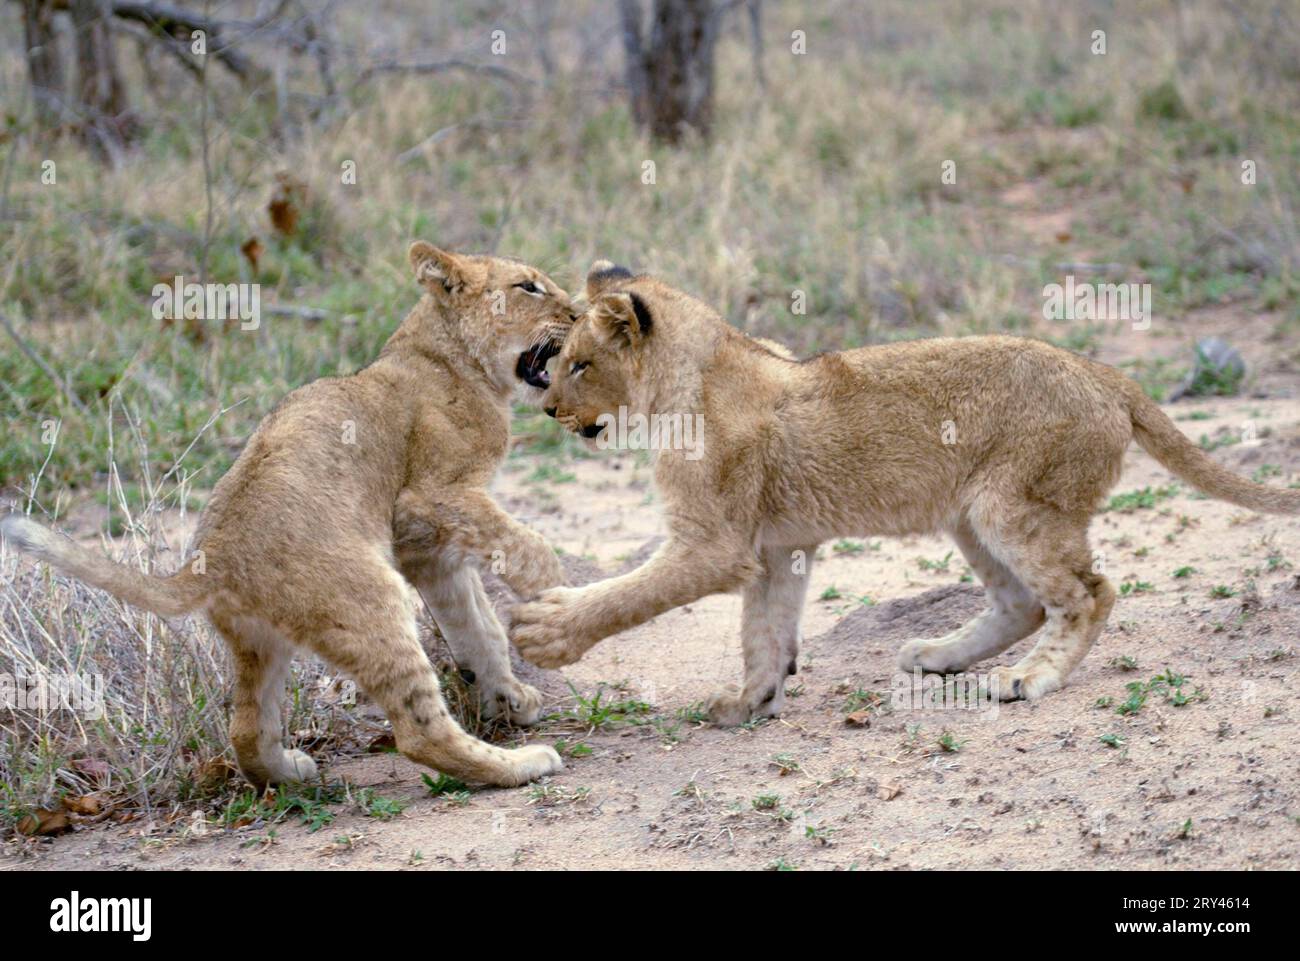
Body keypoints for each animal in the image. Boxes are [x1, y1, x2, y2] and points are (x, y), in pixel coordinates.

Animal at [2, 243, 575, 787]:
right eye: (529, 287)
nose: (578, 312)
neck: (446, 357)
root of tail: (212, 559)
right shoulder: (428, 499)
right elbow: (524, 550)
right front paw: (555, 592)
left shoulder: (425, 548)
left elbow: (477, 624)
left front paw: (508, 696)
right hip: (371, 595)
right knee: (418, 732)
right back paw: (520, 765)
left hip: (260, 640)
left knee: (245, 727)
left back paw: (289, 774)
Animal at [509, 263, 1300, 724]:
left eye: (578, 364)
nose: (547, 410)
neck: (689, 378)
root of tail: (1104, 372)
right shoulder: (779, 545)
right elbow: (765, 629)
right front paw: (751, 698)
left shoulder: (716, 543)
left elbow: (630, 593)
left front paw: (547, 630)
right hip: (972, 514)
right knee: (1023, 602)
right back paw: (938, 655)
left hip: (1014, 504)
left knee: (1090, 593)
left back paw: (1026, 680)